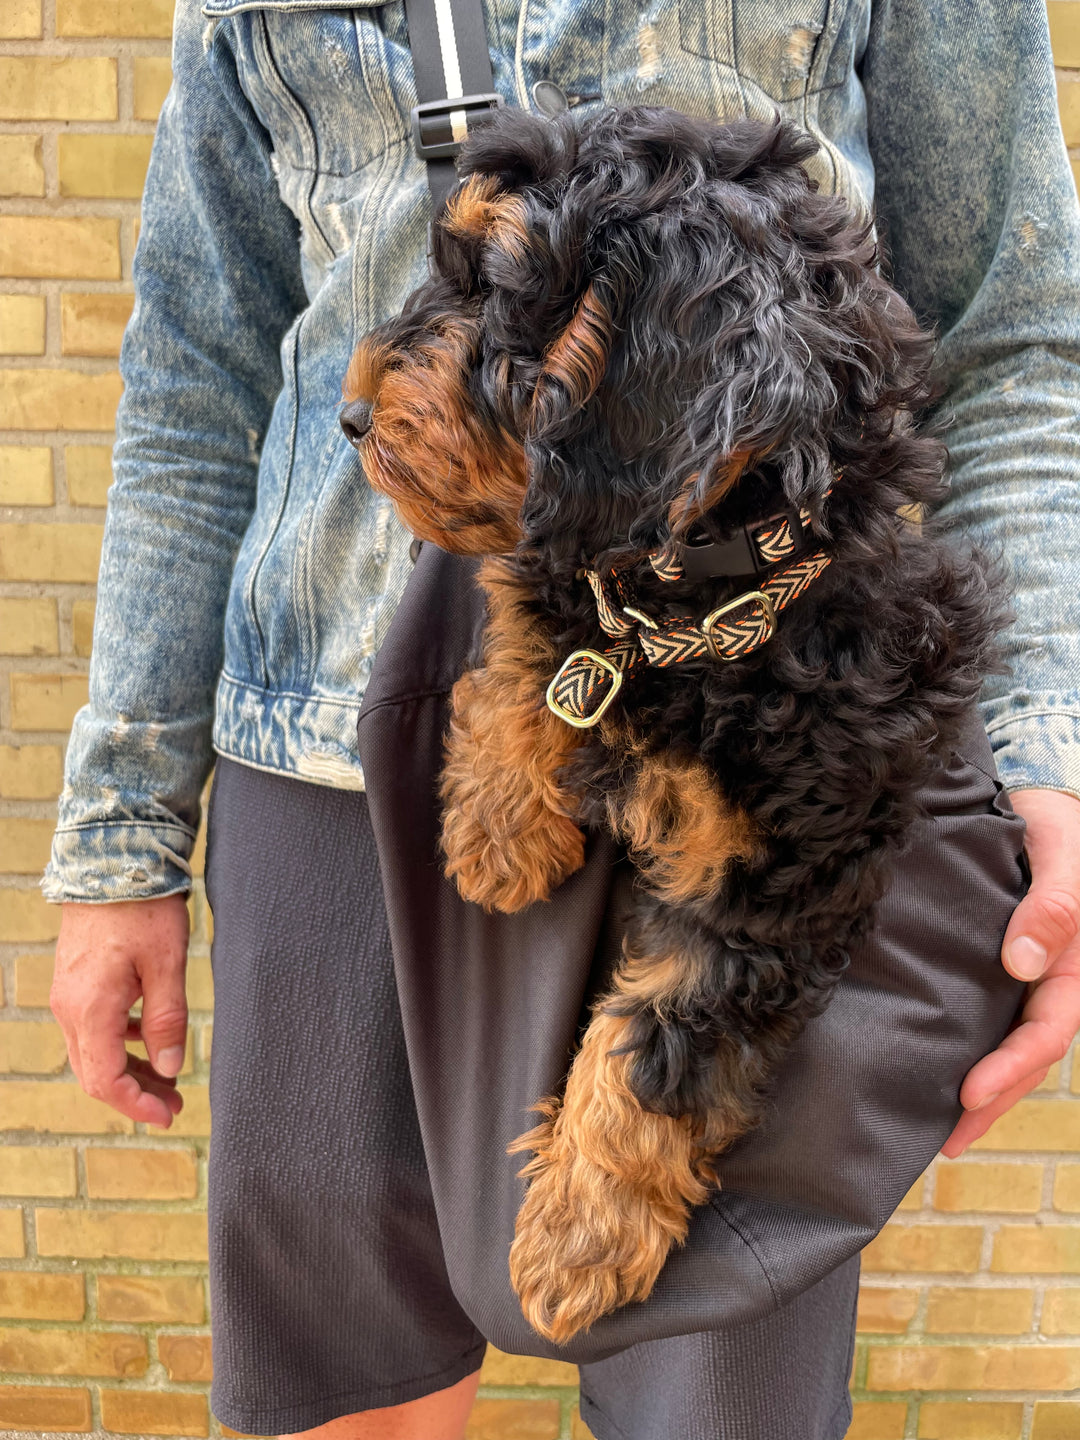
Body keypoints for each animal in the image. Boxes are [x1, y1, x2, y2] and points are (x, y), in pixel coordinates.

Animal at [338, 106, 1008, 1342]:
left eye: (499, 287)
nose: (353, 416)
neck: (706, 589)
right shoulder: (574, 546)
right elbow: (538, 625)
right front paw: (499, 832)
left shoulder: (785, 864)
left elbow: (663, 1032)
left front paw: (576, 1237)